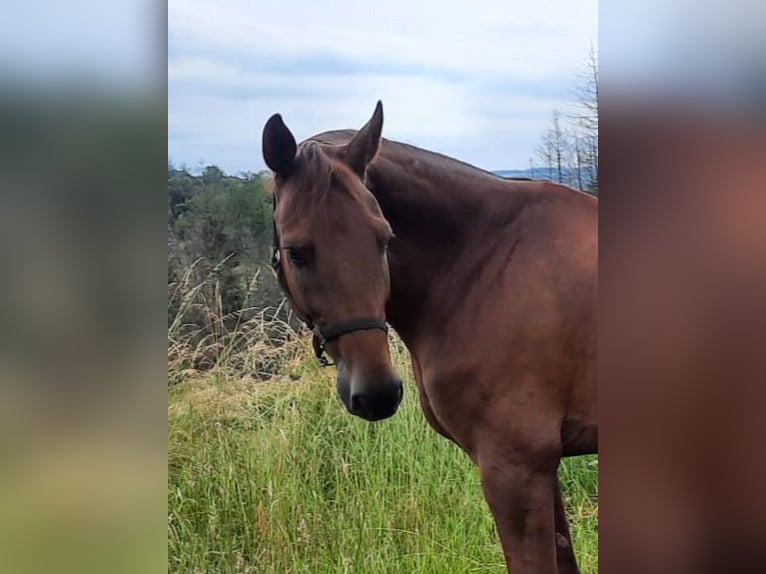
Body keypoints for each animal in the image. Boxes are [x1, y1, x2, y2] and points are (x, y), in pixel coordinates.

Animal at [264, 101, 600, 572]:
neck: (484, 261)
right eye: (296, 252)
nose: (377, 393)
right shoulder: (542, 469)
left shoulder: (516, 467)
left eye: (385, 239)